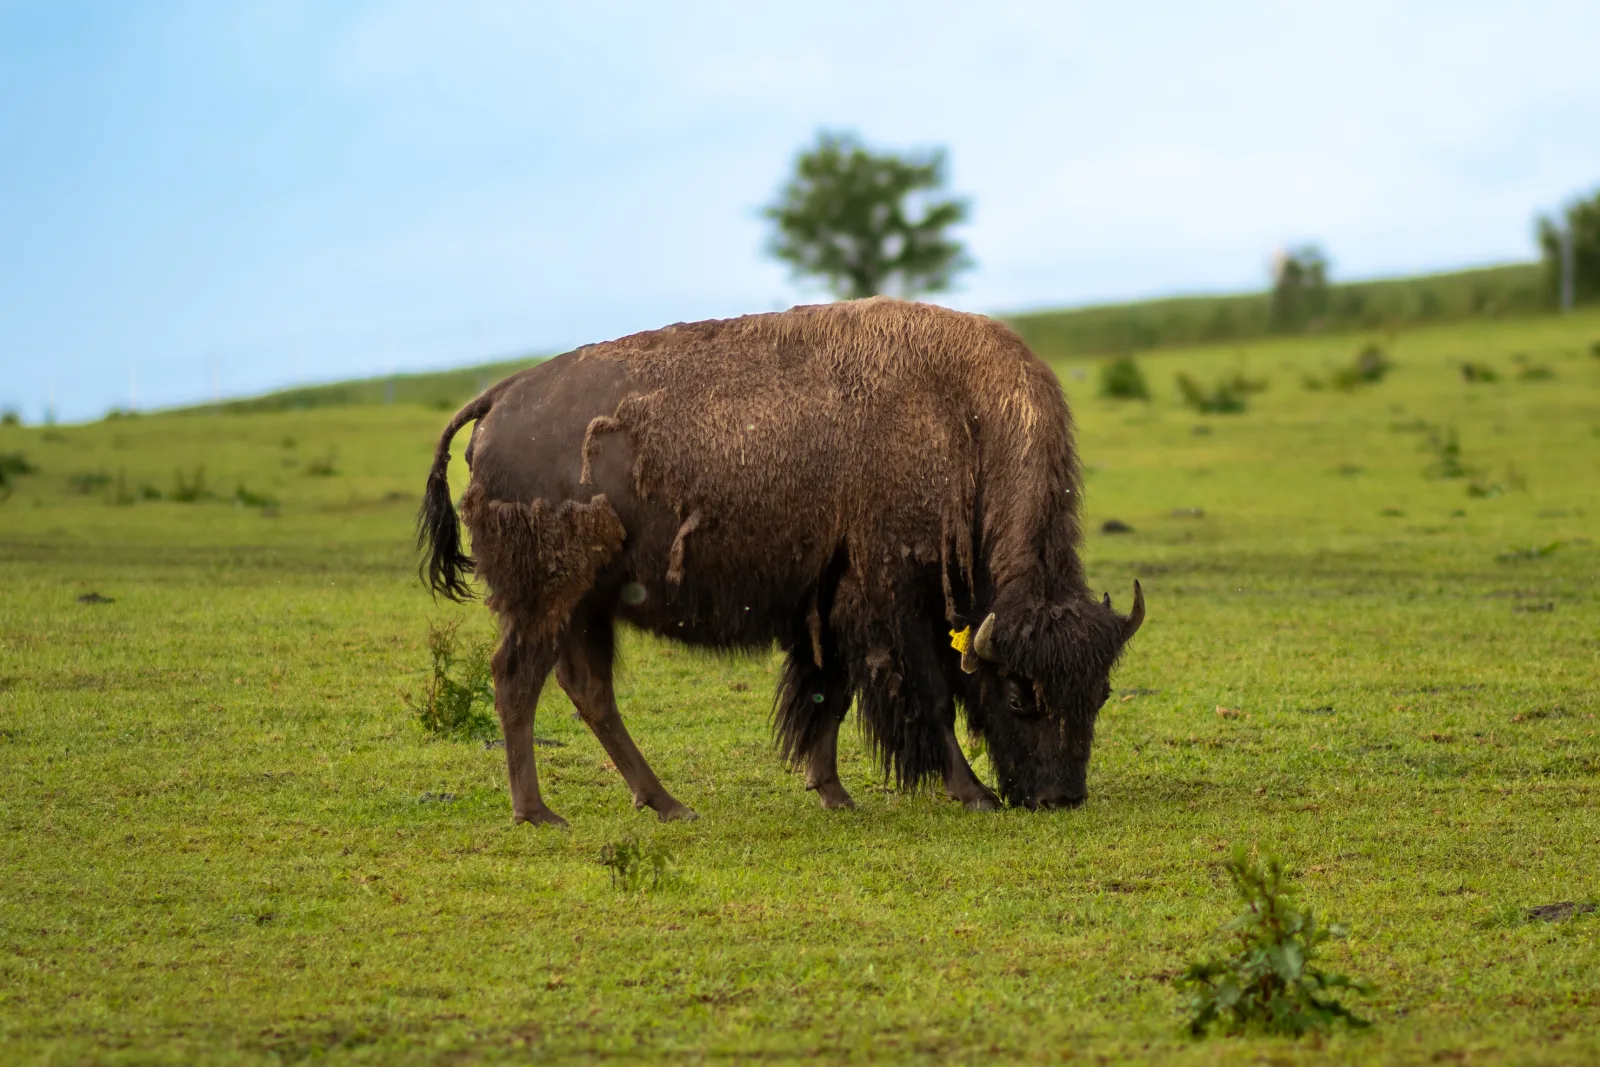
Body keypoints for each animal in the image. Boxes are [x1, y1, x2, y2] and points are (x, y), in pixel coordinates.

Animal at [418, 297, 1144, 826]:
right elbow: (926, 696)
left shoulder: (830, 607)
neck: (961, 416)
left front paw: (834, 793)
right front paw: (973, 794)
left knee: (588, 690)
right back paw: (539, 813)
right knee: (517, 679)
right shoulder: (892, 600)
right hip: (547, 595)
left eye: (1100, 693)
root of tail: (500, 397)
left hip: (588, 603)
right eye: (1021, 693)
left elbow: (829, 695)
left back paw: (668, 805)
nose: (1060, 798)